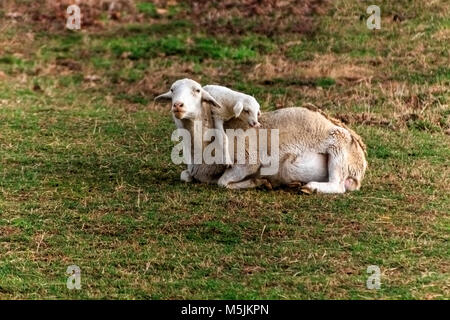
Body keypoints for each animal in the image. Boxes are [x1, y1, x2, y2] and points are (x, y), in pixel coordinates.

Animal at [154, 79, 366, 194]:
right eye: (172, 90)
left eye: (197, 91)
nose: (178, 105)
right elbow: (185, 176)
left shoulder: (250, 161)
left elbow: (223, 183)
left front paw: (259, 182)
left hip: (339, 148)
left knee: (337, 185)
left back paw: (310, 187)